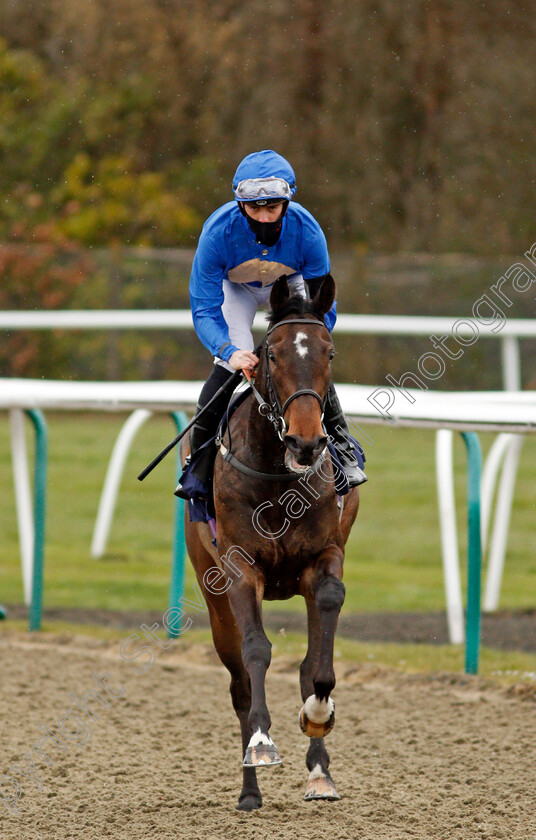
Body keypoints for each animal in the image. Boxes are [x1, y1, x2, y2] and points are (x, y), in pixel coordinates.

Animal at [183, 274, 360, 808]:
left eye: (329, 352)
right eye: (273, 354)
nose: (307, 442)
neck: (278, 474)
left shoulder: (323, 557)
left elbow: (316, 661)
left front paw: (318, 718)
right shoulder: (240, 568)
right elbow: (257, 651)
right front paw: (262, 743)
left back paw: (320, 773)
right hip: (212, 593)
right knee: (239, 681)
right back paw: (249, 790)